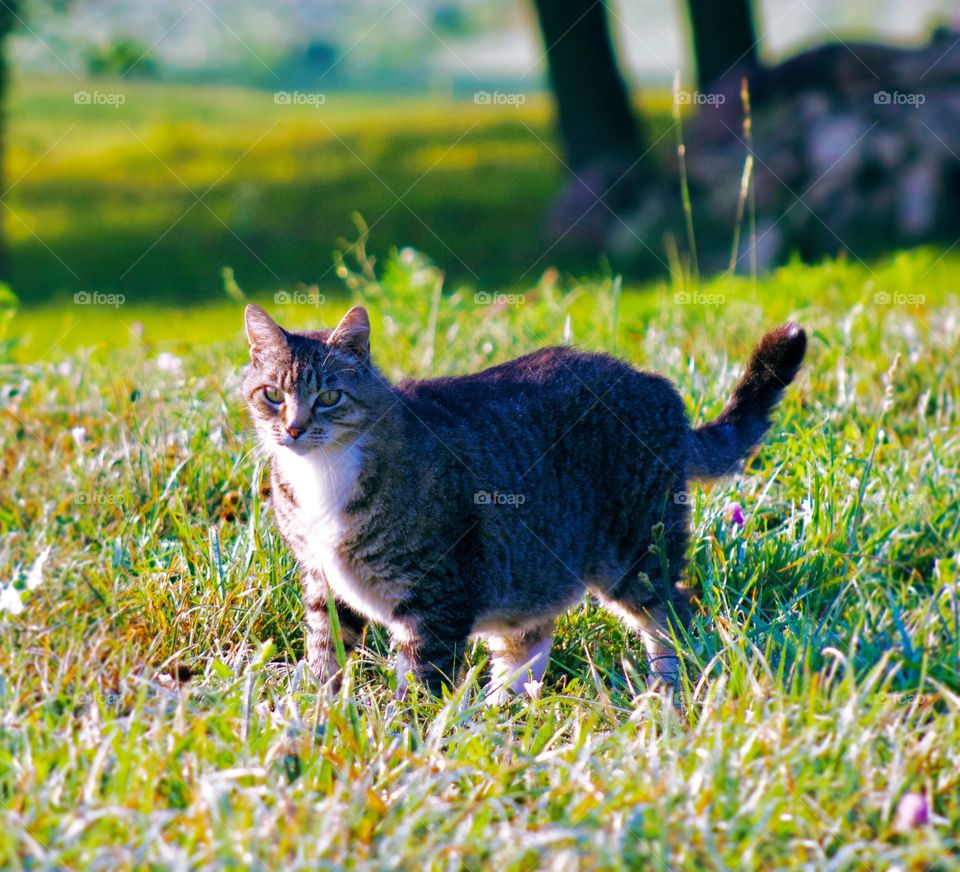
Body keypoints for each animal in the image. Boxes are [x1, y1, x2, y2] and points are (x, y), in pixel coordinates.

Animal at [244, 306, 808, 700]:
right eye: (271, 394)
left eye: (329, 398)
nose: (293, 429)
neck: (322, 474)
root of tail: (659, 388)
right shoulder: (321, 579)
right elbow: (326, 651)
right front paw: (317, 712)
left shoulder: (436, 594)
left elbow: (422, 677)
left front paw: (407, 736)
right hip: (531, 565)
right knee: (528, 638)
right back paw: (500, 707)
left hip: (634, 556)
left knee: (674, 614)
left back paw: (668, 691)